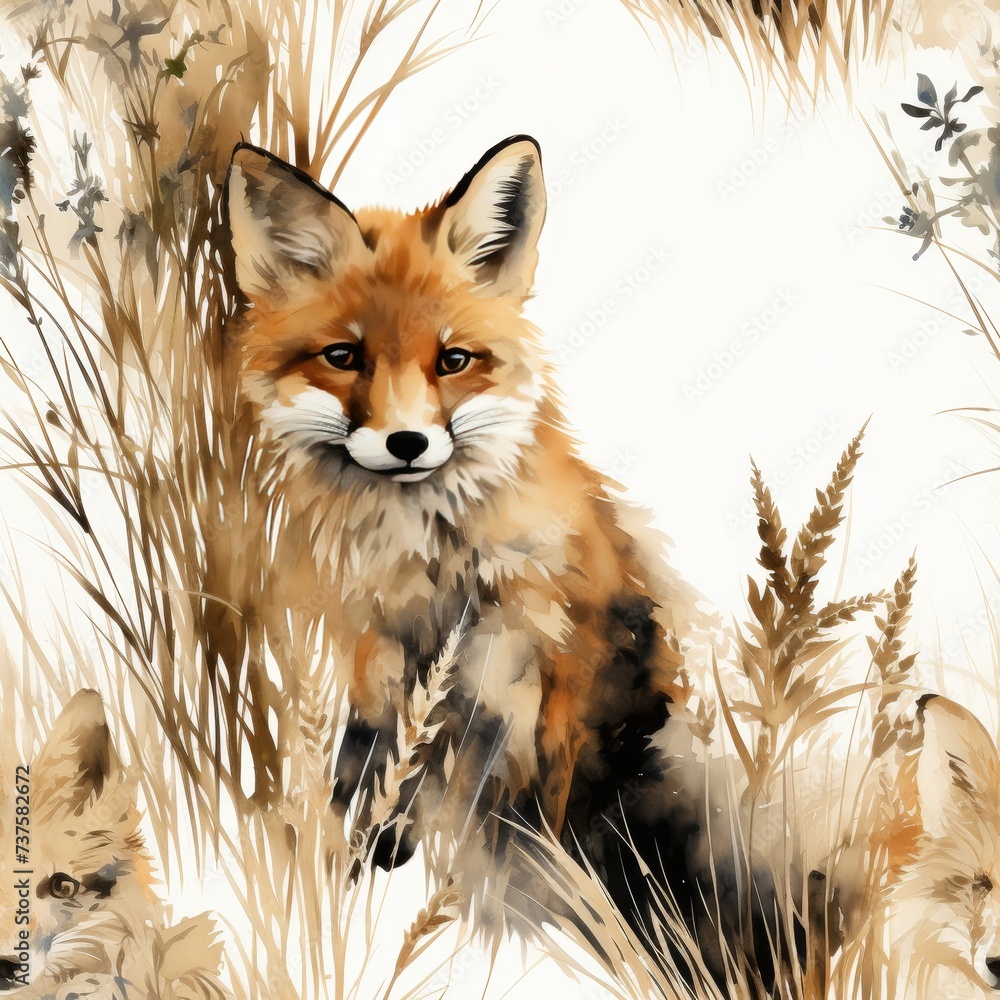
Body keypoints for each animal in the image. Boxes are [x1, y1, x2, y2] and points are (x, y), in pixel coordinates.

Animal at [222, 136, 791, 983]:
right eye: (343, 356)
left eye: (454, 361)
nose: (406, 442)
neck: (437, 564)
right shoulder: (379, 649)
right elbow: (361, 779)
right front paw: (338, 878)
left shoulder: (541, 662)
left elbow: (534, 818)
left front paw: (523, 903)